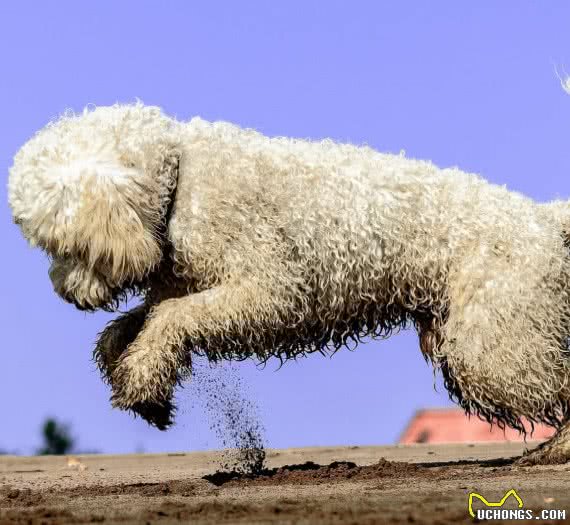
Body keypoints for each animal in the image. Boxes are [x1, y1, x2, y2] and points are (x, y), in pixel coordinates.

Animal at [6, 102, 568, 462]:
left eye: (67, 247)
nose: (67, 294)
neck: (180, 180)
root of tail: (543, 220)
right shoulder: (188, 283)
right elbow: (129, 328)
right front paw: (141, 383)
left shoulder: (270, 290)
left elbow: (169, 319)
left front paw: (142, 381)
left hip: (491, 345)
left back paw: (557, 448)